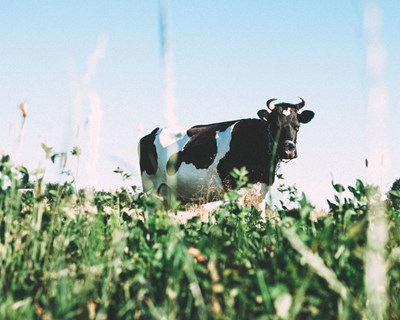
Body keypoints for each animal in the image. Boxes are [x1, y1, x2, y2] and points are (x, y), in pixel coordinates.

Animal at [139, 97, 314, 218]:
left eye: (297, 126)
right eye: (275, 125)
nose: (288, 151)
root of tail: (152, 132)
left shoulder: (260, 194)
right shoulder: (235, 190)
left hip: (167, 195)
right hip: (151, 189)